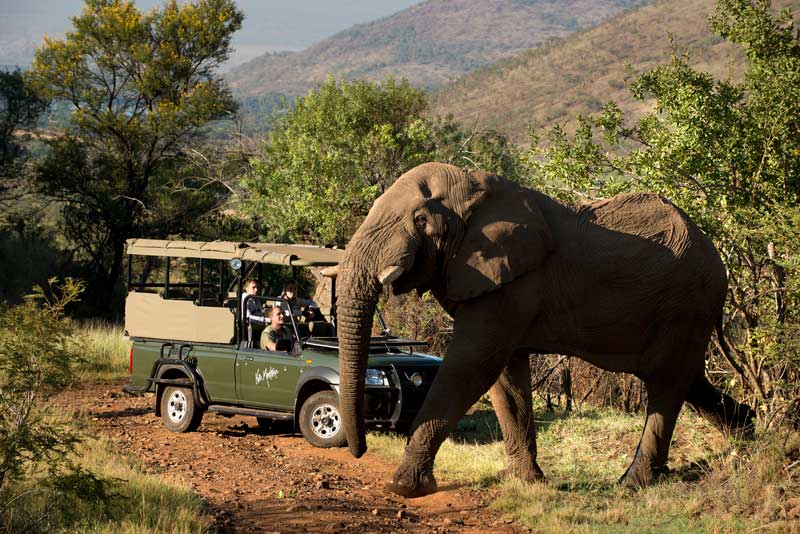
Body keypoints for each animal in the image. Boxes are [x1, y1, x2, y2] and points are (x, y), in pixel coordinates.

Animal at [335, 162, 755, 498]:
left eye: (421, 220)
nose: (358, 451)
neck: (476, 188)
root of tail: (719, 259)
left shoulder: (514, 284)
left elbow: (471, 367)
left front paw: (404, 487)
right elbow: (505, 379)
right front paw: (527, 482)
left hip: (688, 303)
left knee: (667, 386)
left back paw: (633, 483)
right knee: (689, 380)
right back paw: (750, 435)